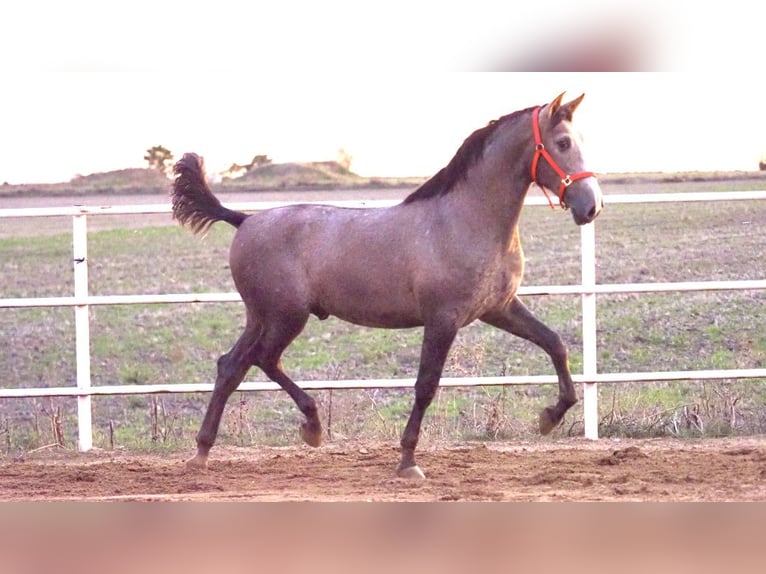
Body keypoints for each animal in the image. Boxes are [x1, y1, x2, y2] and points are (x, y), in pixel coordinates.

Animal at [172, 93, 608, 482]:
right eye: (563, 143)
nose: (591, 206)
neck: (465, 220)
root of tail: (244, 220)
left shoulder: (498, 308)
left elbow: (555, 344)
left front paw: (550, 417)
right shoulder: (443, 320)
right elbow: (425, 387)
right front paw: (408, 462)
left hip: (261, 316)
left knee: (231, 365)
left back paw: (202, 453)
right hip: (286, 317)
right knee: (263, 359)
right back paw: (312, 427)